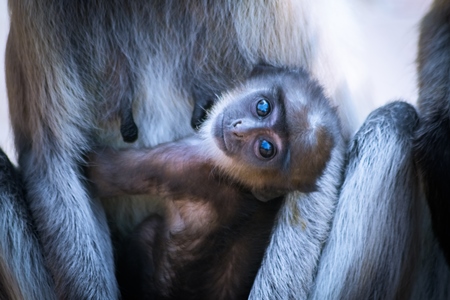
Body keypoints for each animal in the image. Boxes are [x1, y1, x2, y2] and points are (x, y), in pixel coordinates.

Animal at [87, 65, 342, 300]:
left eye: (265, 148)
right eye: (263, 107)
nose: (239, 129)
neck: (238, 181)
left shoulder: (185, 162)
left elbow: (99, 173)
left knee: (146, 230)